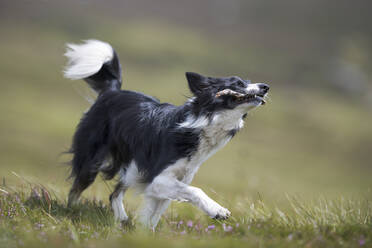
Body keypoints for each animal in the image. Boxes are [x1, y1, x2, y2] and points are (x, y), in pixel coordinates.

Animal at [63, 40, 268, 229]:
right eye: (238, 84)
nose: (266, 86)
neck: (203, 123)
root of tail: (112, 91)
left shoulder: (176, 178)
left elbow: (155, 214)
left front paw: (145, 234)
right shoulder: (159, 178)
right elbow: (195, 191)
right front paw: (217, 210)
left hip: (133, 168)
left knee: (114, 194)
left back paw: (121, 220)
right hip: (93, 160)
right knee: (76, 189)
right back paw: (72, 212)